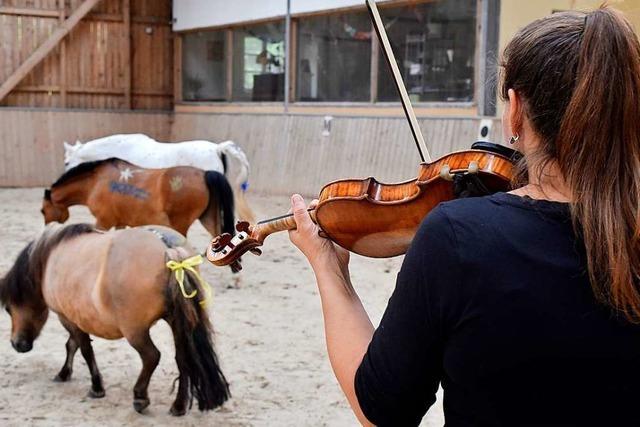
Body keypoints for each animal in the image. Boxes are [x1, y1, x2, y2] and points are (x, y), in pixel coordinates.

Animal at [0, 222, 230, 416]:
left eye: (9, 308)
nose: (16, 344)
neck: (49, 255)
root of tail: (168, 250)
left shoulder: (67, 318)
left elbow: (84, 349)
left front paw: (96, 387)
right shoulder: (76, 318)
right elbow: (73, 345)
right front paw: (64, 373)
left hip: (135, 331)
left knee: (151, 356)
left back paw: (140, 397)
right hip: (177, 324)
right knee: (182, 359)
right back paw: (179, 405)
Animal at [39, 159, 250, 239]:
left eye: (43, 210)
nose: (47, 228)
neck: (95, 182)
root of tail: (204, 173)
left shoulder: (103, 221)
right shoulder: (120, 222)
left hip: (180, 224)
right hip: (208, 218)